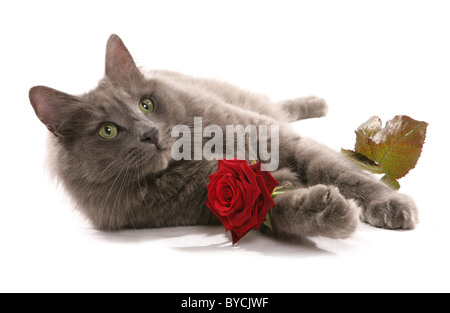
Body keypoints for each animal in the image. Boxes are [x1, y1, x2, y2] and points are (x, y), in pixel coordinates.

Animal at [29, 34, 418, 239]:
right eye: (108, 130)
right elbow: (280, 208)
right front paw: (330, 212)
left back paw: (317, 103)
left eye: (146, 104)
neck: (198, 152)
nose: (149, 133)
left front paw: (391, 205)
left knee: (280, 106)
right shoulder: (222, 199)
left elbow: (342, 172)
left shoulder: (276, 137)